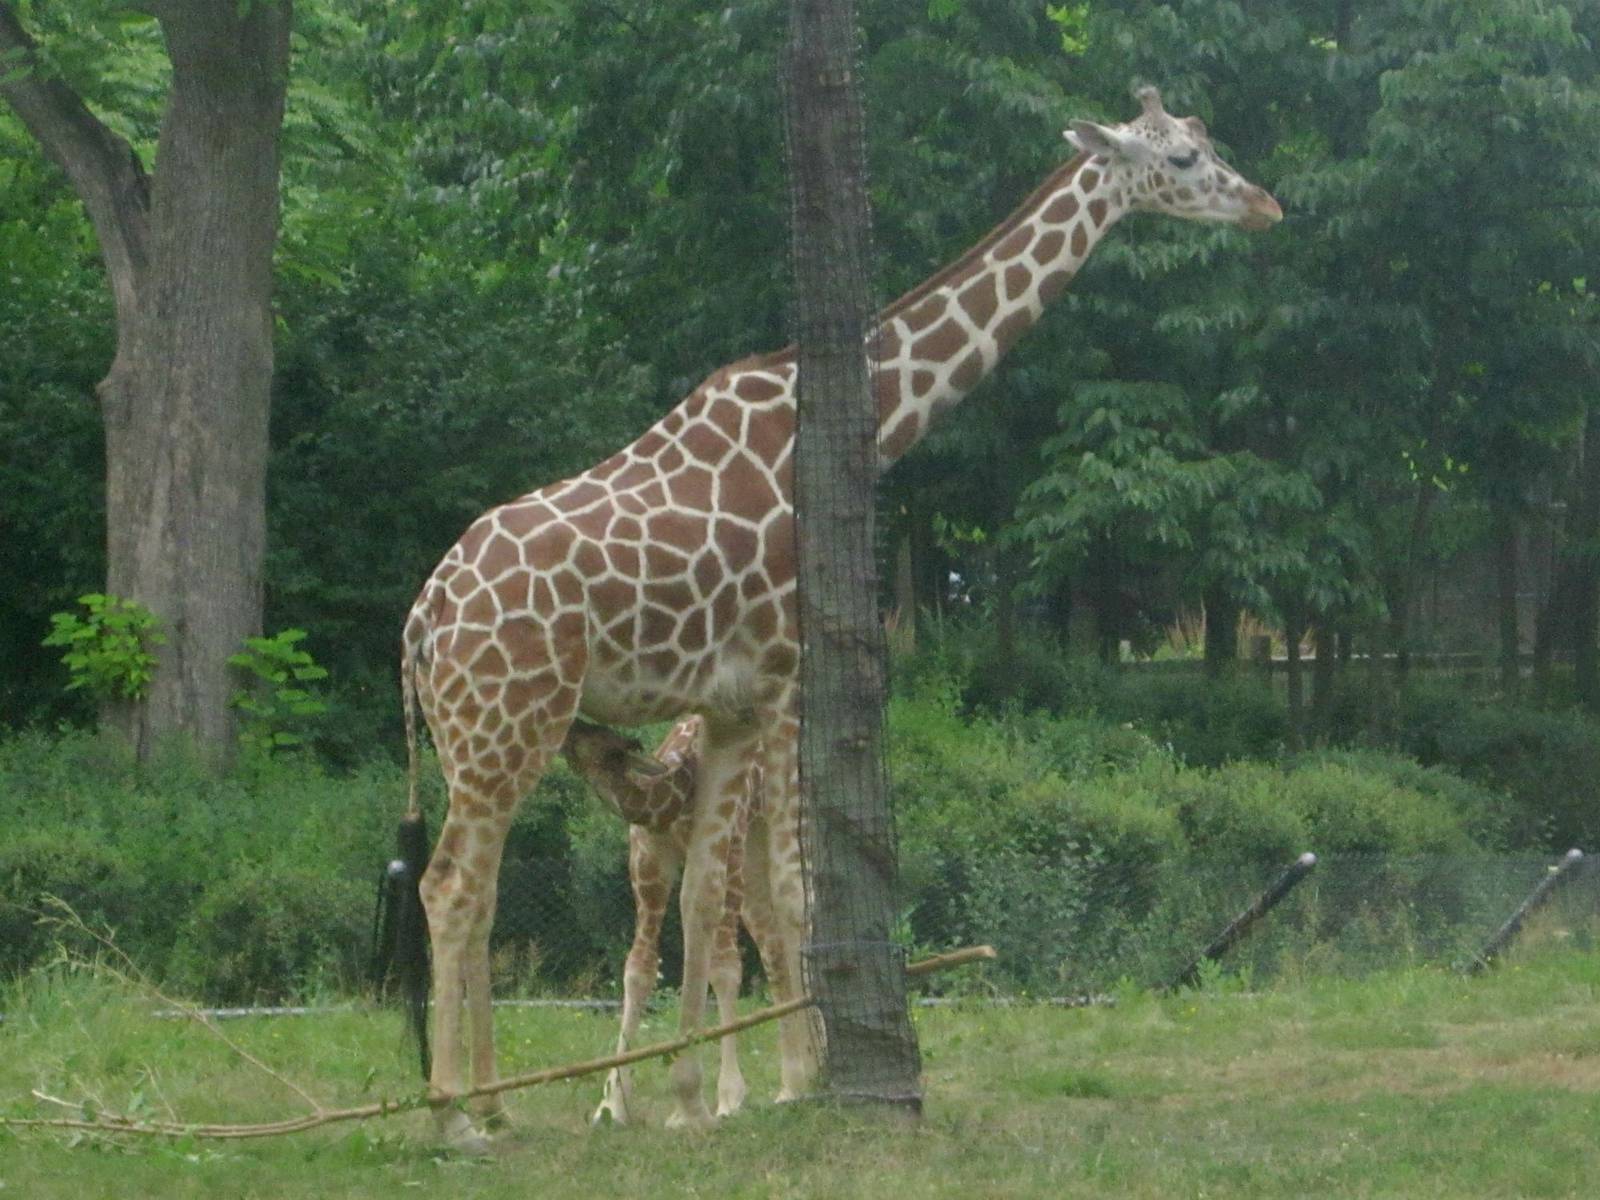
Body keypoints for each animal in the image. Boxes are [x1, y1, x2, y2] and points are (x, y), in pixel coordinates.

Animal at [560, 715, 775, 1126]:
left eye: (600, 738)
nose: (572, 725)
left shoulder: (729, 846)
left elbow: (724, 968)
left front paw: (730, 1096)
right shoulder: (647, 858)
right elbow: (639, 969)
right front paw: (613, 1104)